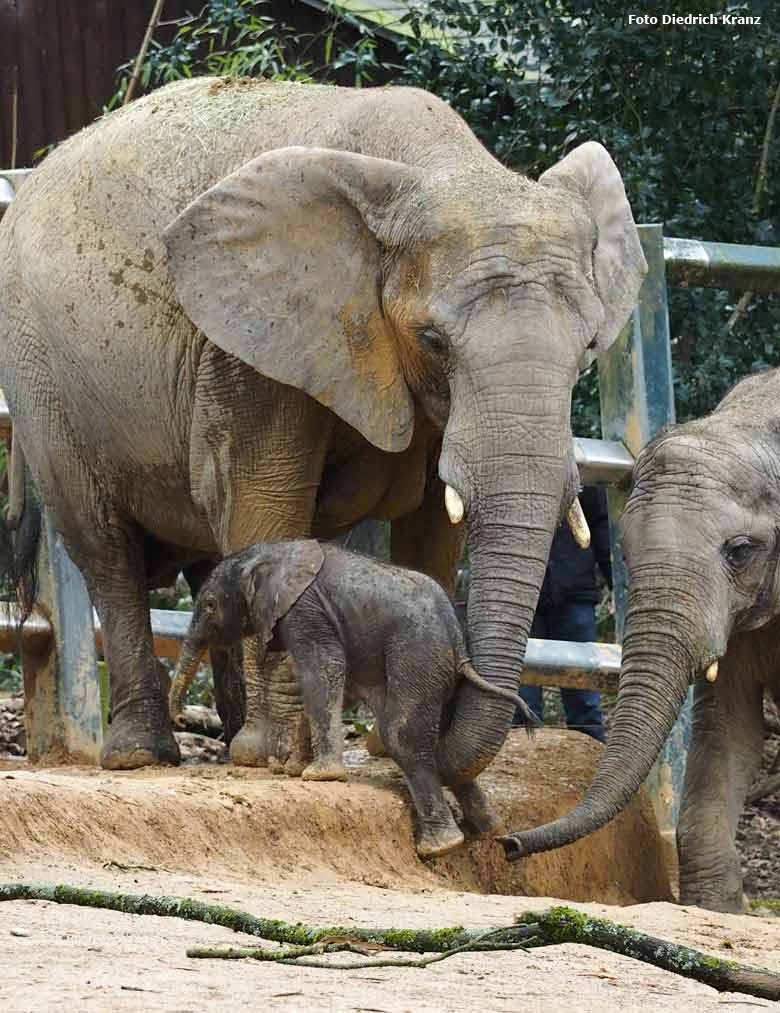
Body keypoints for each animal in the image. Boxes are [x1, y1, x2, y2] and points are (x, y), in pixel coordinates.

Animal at [0, 79, 644, 769]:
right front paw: (279, 755)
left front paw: (390, 743)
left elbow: (433, 533)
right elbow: (265, 499)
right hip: (41, 377)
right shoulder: (250, 343)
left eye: (587, 349)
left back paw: (232, 740)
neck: (431, 166)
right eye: (433, 340)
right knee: (106, 548)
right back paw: (149, 755)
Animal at [168, 538, 534, 854]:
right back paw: (492, 832)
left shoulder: (304, 611)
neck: (272, 553)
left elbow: (323, 668)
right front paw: (291, 770)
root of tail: (458, 639)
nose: (183, 719)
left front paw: (319, 776)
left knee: (401, 737)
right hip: (438, 669)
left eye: (210, 605)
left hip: (418, 656)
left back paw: (440, 847)